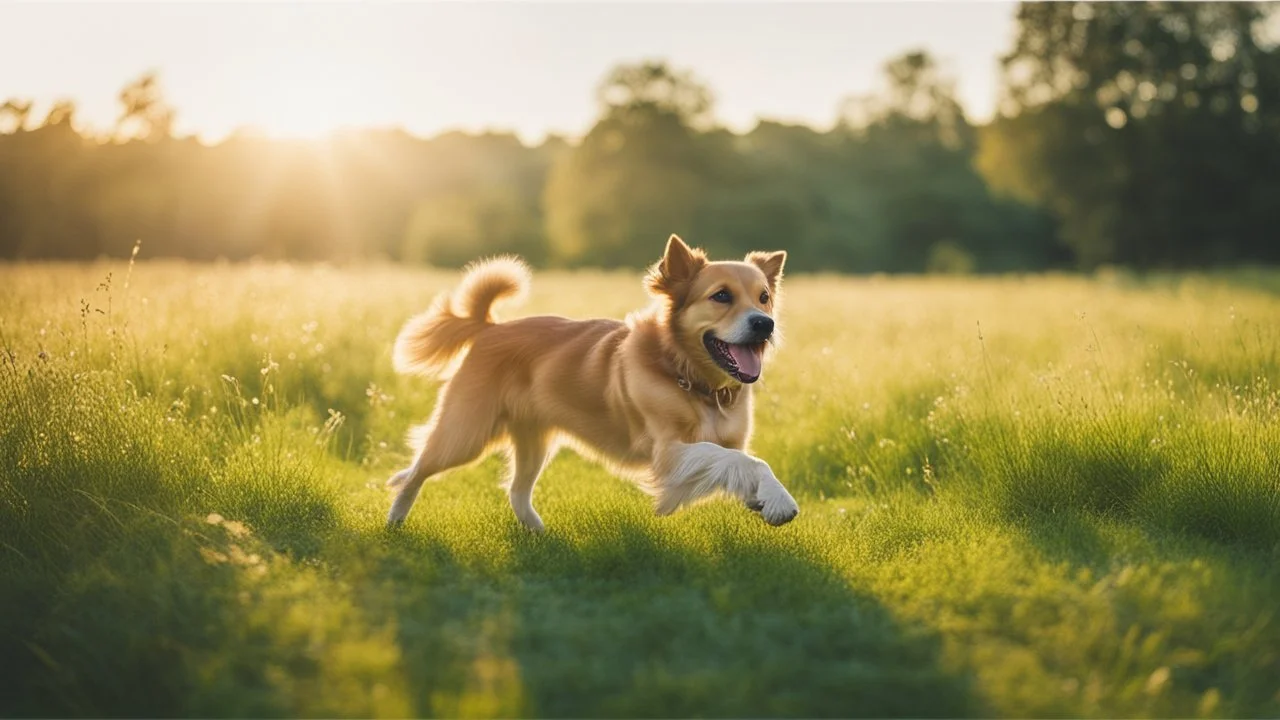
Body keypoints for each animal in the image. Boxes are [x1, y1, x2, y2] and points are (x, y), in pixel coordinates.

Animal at [384, 234, 793, 527]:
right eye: (721, 296)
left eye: (764, 297)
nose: (765, 324)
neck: (689, 376)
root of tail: (489, 328)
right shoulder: (668, 454)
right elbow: (741, 460)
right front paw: (780, 501)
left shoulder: (721, 444)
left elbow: (742, 461)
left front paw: (766, 497)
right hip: (465, 434)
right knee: (418, 469)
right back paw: (395, 520)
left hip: (533, 441)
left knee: (517, 491)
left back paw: (540, 536)